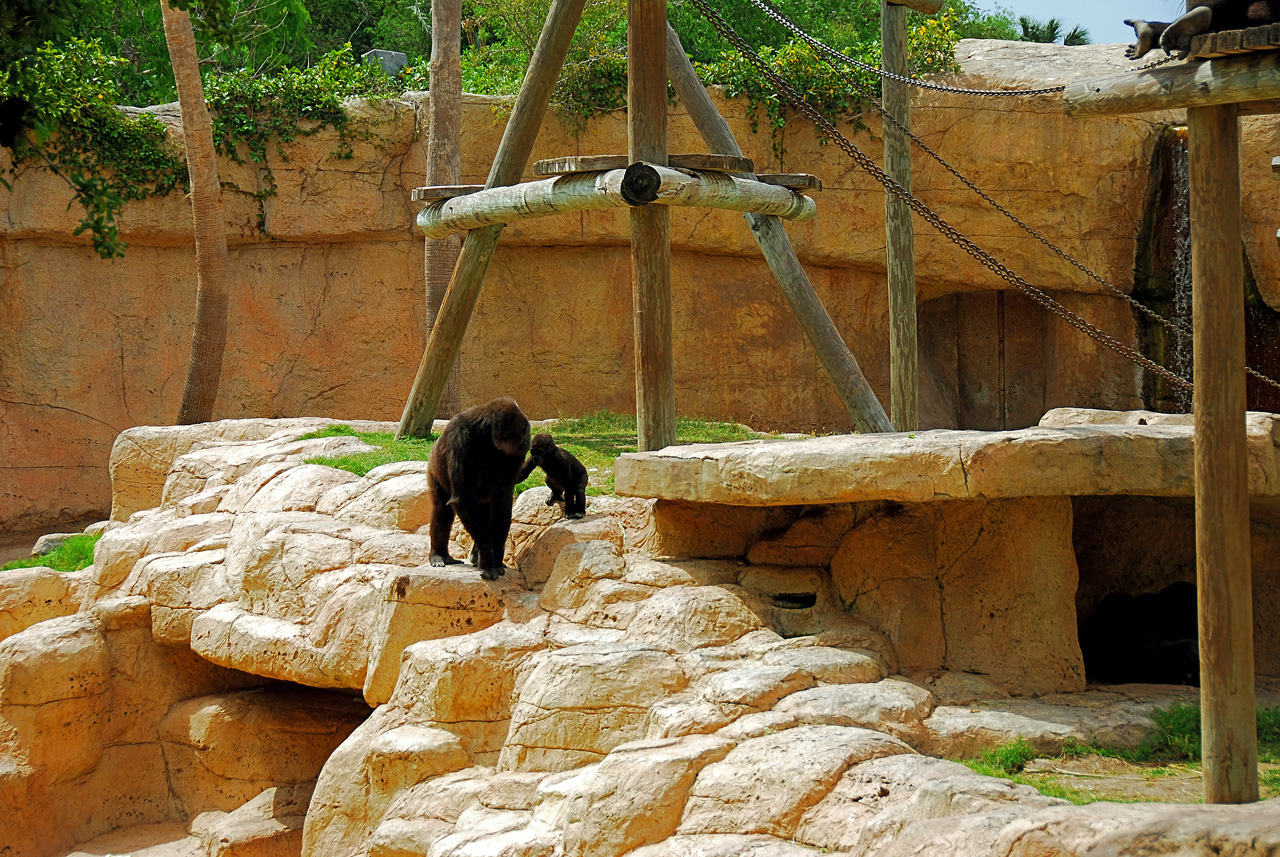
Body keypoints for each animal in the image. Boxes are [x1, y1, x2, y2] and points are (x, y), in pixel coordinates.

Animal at [430, 399, 529, 580]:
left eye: (528, 430)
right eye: (523, 433)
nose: (527, 442)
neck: (487, 435)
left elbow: (503, 496)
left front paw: (496, 556)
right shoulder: (459, 437)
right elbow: (463, 498)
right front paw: (489, 561)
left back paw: (475, 555)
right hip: (434, 467)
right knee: (442, 511)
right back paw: (440, 555)